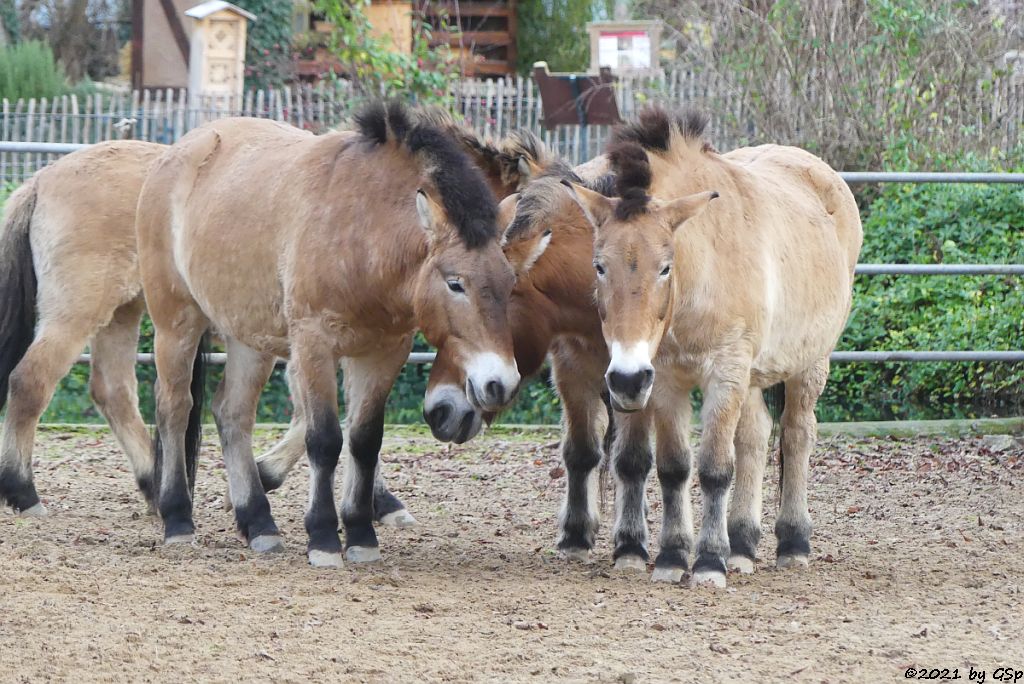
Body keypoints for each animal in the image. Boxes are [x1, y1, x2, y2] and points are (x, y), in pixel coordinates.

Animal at [136, 98, 520, 565]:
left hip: (249, 340)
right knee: (174, 408)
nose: (499, 383)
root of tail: (175, 153)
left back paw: (258, 523)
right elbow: (324, 439)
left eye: (511, 282)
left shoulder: (383, 353)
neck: (363, 230)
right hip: (175, 322)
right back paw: (178, 519)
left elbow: (364, 440)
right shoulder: (314, 346)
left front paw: (360, 534)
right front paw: (322, 537)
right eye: (455, 283)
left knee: (232, 413)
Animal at [565, 107, 860, 589]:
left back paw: (793, 542)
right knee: (756, 436)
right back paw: (741, 545)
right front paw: (672, 556)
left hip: (809, 365)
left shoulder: (724, 374)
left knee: (796, 436)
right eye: (599, 265)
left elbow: (715, 468)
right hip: (753, 377)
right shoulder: (667, 382)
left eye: (665, 267)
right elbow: (674, 467)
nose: (626, 378)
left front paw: (707, 562)